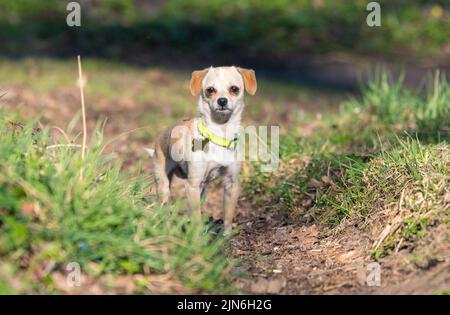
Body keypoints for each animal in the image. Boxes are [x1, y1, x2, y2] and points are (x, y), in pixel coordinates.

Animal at [147, 66, 256, 235]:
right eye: (210, 90)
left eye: (234, 89)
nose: (222, 100)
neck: (220, 133)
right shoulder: (192, 185)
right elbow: (197, 217)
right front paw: (197, 237)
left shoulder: (232, 184)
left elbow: (228, 214)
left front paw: (226, 235)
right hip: (164, 183)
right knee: (165, 202)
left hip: (203, 188)